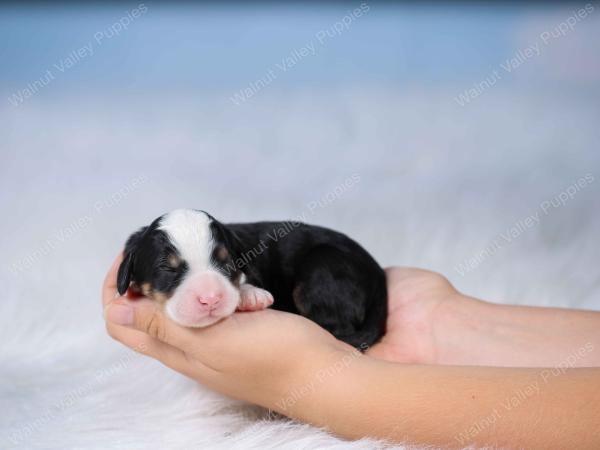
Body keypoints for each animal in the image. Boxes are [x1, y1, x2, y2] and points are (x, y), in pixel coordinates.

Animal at [118, 210, 390, 348]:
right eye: (167, 268)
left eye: (226, 261)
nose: (211, 299)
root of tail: (378, 275)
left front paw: (251, 296)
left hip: (322, 268)